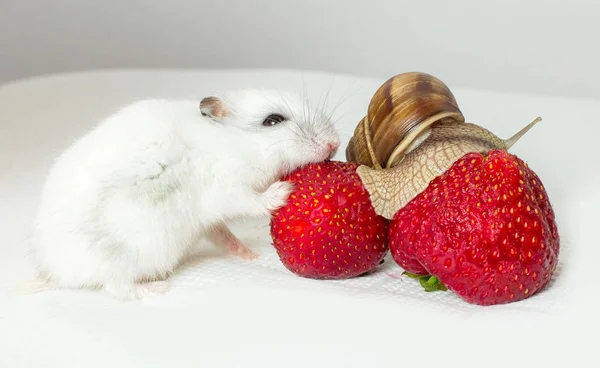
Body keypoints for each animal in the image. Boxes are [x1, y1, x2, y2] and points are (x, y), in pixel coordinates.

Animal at [21, 90, 340, 302]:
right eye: (273, 121)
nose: (334, 143)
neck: (232, 144)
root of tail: (54, 273)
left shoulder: (209, 222)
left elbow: (222, 232)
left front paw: (249, 254)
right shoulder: (227, 188)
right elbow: (252, 202)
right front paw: (283, 192)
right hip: (128, 256)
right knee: (117, 288)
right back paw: (158, 288)